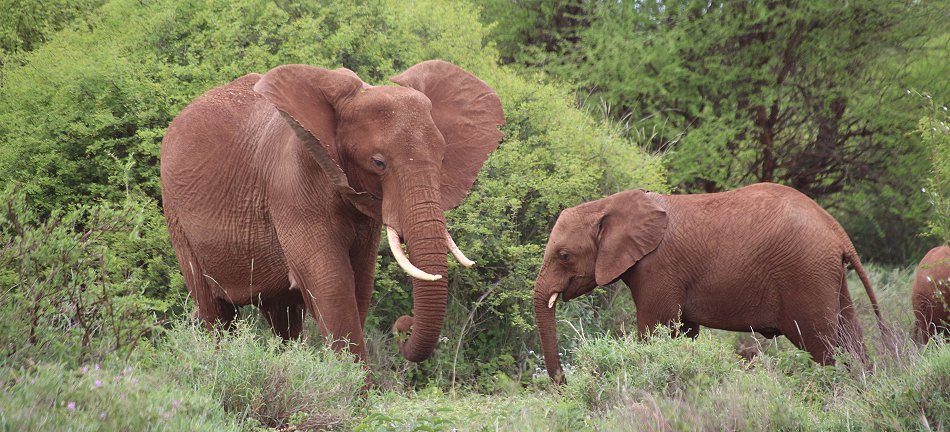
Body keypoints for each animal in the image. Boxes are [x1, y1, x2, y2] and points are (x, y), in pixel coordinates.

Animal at [162, 60, 506, 362]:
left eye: (442, 157)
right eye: (378, 163)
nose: (403, 326)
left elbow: (360, 285)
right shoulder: (291, 186)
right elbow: (332, 286)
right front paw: (355, 389)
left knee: (283, 315)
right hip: (176, 217)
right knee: (214, 312)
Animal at [536, 182, 884, 382]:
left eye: (564, 255)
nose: (563, 383)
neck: (606, 205)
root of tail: (837, 230)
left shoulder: (658, 268)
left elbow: (654, 330)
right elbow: (683, 333)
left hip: (805, 272)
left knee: (822, 345)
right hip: (828, 275)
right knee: (851, 337)